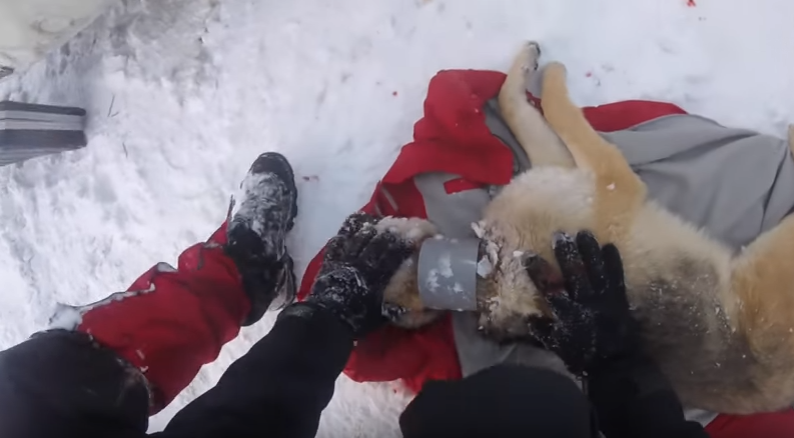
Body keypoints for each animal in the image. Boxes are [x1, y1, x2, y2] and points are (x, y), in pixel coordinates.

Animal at [378, 41, 794, 414]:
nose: (386, 310)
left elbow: (516, 107)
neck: (493, 270)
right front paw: (554, 74)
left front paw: (526, 66)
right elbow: (560, 110)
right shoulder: (610, 179)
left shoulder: (559, 168)